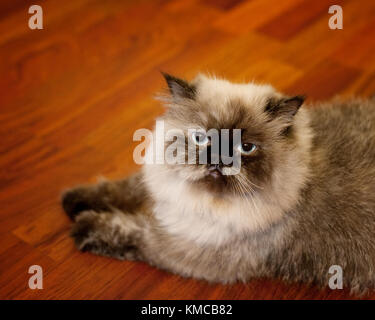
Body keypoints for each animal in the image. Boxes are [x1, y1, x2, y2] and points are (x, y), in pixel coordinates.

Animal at [61, 73, 375, 296]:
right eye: (201, 138)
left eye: (246, 147)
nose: (218, 159)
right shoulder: (163, 187)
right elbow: (121, 189)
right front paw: (73, 201)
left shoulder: (183, 248)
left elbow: (132, 231)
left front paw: (83, 227)